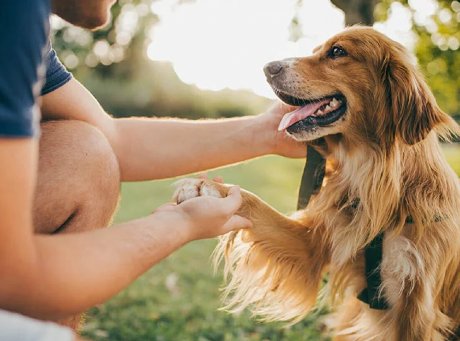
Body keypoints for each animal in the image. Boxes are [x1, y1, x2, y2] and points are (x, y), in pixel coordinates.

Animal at [173, 27, 460, 340]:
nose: (268, 68)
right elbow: (254, 204)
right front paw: (207, 189)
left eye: (337, 51)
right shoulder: (314, 244)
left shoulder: (417, 308)